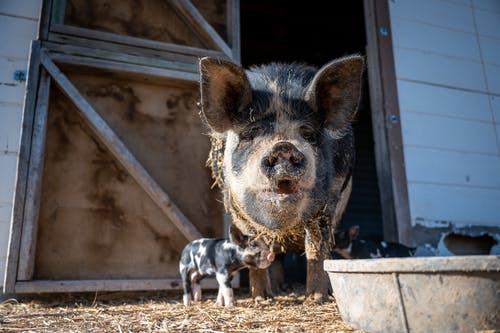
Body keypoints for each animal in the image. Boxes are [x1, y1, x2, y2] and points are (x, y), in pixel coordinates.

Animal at [197, 54, 366, 300]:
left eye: (308, 134)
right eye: (250, 133)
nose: (283, 146)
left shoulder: (329, 204)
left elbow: (316, 247)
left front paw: (317, 299)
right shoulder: (236, 208)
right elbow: (252, 242)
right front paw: (260, 298)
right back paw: (277, 290)